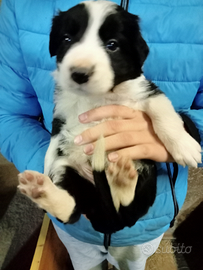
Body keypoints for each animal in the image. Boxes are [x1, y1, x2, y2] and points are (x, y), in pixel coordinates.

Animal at [17, 1, 201, 234]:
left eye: (112, 45)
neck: (98, 96)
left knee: (127, 206)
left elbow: (163, 111)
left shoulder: (146, 90)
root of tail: (105, 215)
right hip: (68, 170)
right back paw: (42, 191)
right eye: (67, 39)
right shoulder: (61, 113)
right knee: (72, 210)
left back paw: (121, 178)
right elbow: (53, 144)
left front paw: (186, 146)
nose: (79, 73)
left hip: (147, 175)